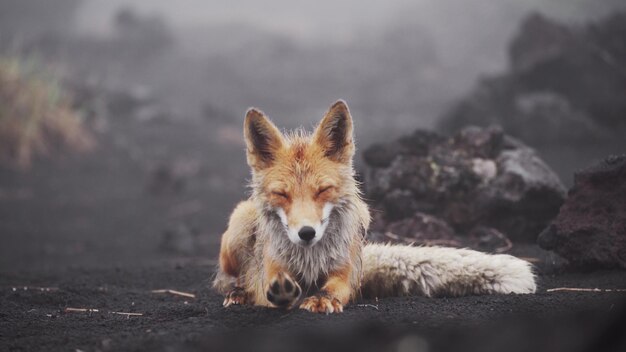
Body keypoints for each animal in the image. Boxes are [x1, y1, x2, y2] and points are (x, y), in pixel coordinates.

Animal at [212, 99, 532, 314]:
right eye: (282, 194)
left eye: (323, 190)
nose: (306, 233)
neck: (310, 259)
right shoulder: (270, 271)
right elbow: (267, 288)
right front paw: (279, 294)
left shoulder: (345, 272)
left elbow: (335, 288)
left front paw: (322, 299)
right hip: (239, 225)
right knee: (226, 279)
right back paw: (237, 292)